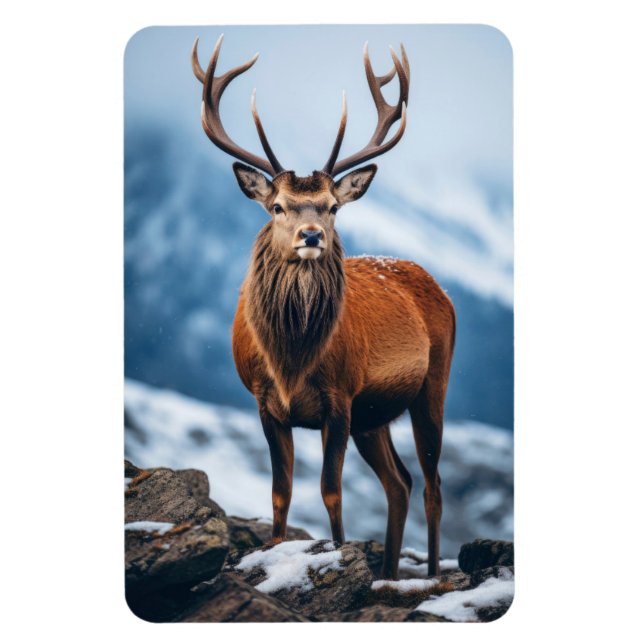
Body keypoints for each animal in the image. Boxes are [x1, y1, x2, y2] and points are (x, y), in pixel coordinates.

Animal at [192, 35, 455, 580]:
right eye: (277, 206)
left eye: (333, 206)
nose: (311, 235)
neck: (292, 359)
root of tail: (435, 284)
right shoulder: (265, 402)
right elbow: (281, 492)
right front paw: (274, 551)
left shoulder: (340, 398)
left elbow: (331, 492)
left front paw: (335, 551)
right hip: (375, 416)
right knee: (399, 482)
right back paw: (388, 574)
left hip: (431, 385)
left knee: (433, 484)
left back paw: (431, 575)